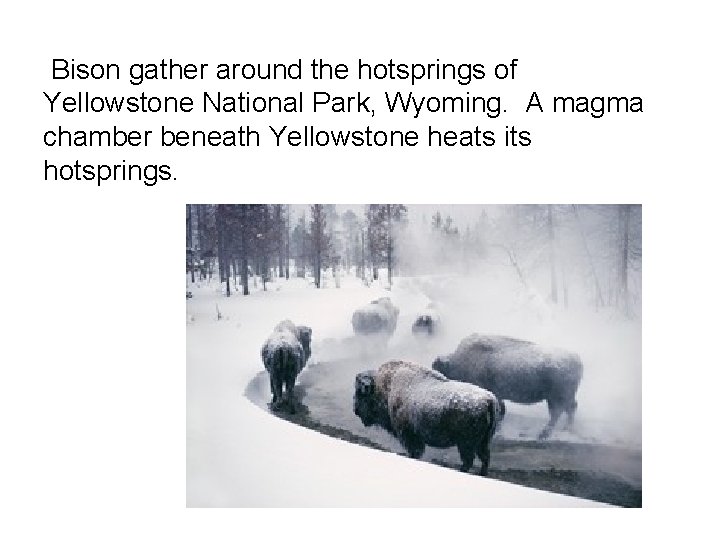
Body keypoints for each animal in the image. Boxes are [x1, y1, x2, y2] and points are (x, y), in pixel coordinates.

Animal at [352, 360, 500, 474]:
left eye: (360, 392)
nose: (355, 410)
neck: (386, 388)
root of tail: (489, 400)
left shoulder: (409, 436)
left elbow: (415, 452)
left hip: (465, 443)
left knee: (469, 460)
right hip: (482, 442)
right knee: (484, 458)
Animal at [430, 336, 584, 440]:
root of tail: (577, 359)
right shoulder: (497, 394)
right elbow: (502, 410)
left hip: (557, 396)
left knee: (558, 412)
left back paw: (544, 434)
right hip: (557, 397)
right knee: (568, 409)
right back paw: (565, 430)